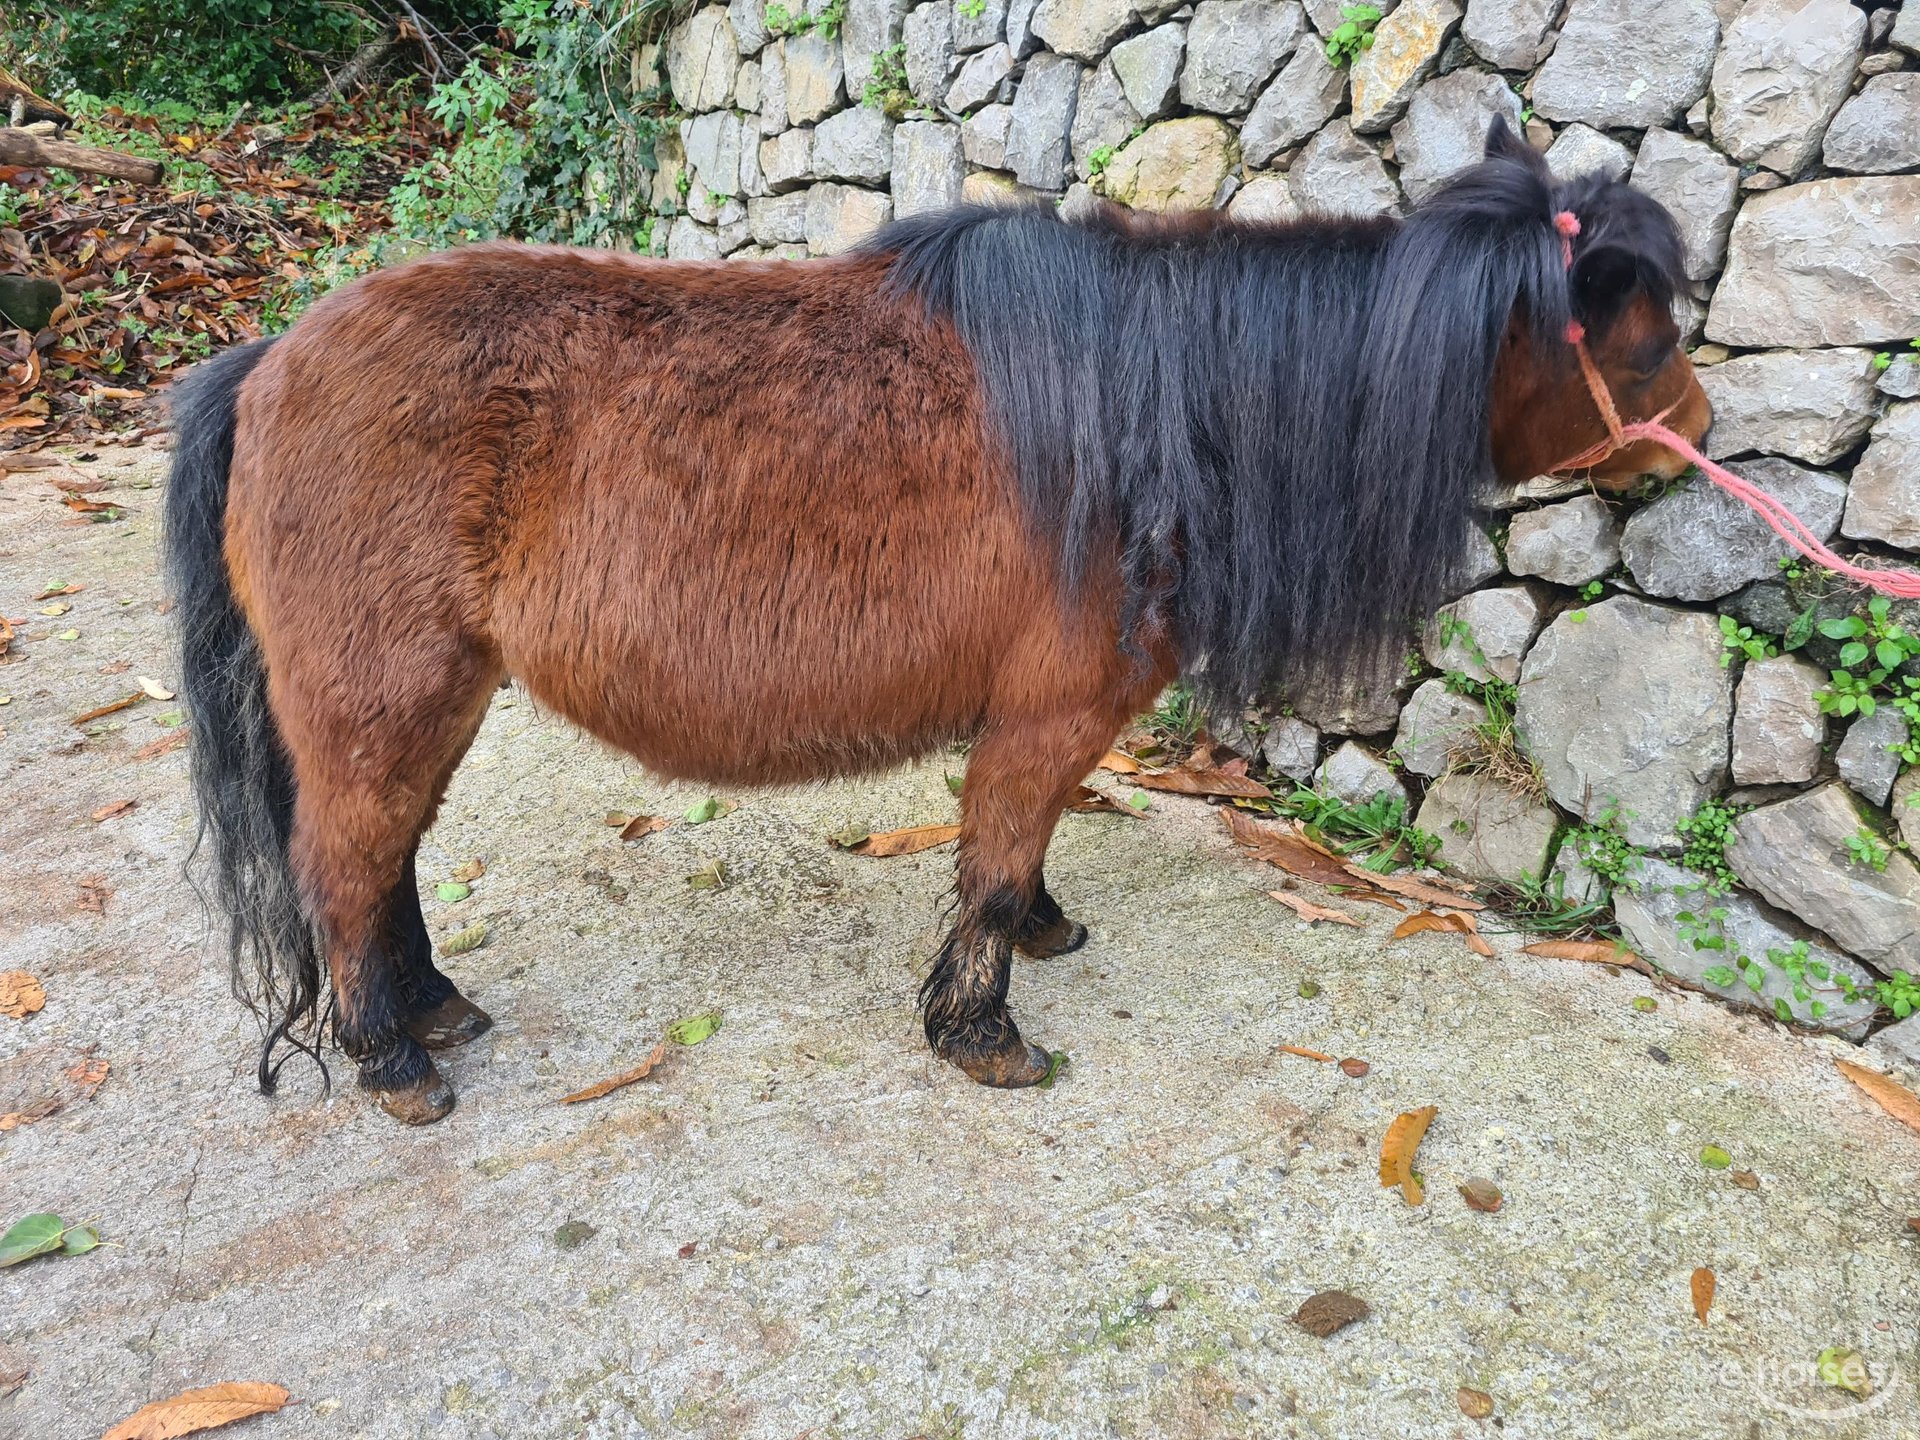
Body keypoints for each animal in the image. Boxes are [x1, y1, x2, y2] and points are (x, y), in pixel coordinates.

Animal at [161, 123, 1697, 1128]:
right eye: (1645, 337)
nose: (1695, 435)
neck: (1152, 396)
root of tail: (271, 358)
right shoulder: (1050, 711)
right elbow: (998, 857)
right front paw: (982, 1029)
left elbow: (1025, 854)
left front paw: (1041, 936)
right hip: (385, 697)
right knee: (346, 866)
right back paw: (391, 1058)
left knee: (387, 859)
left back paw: (428, 1006)